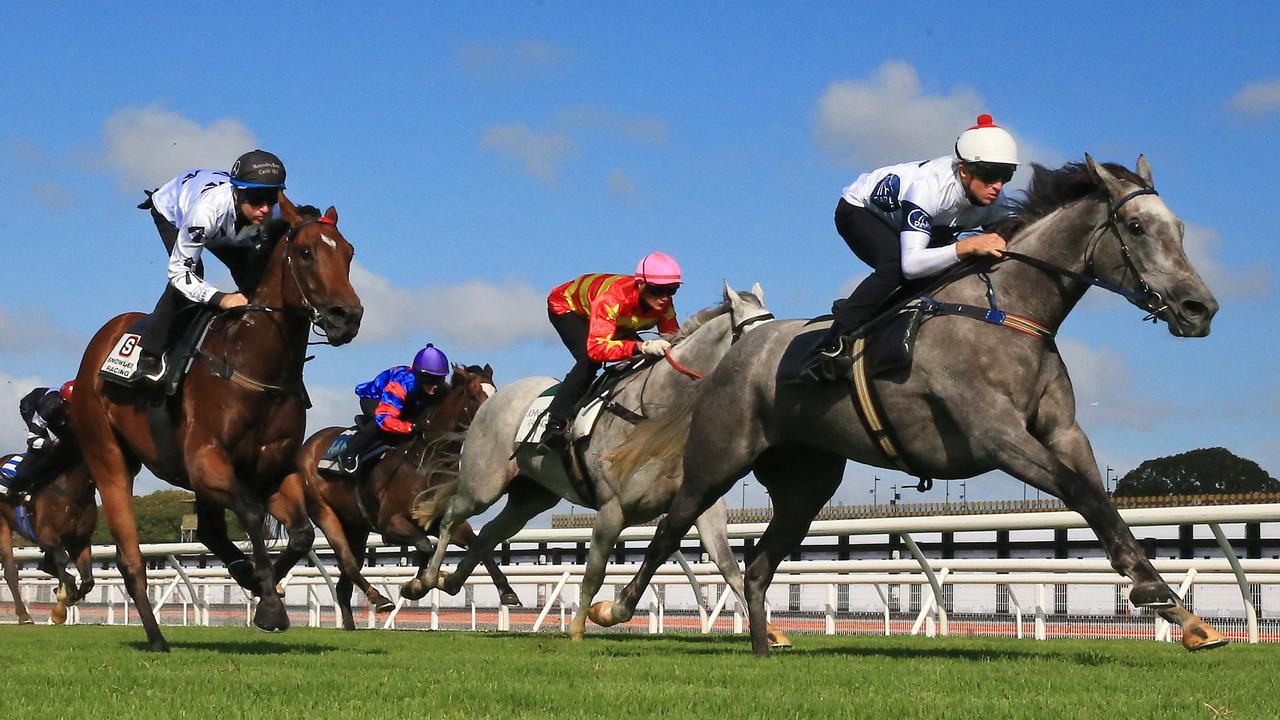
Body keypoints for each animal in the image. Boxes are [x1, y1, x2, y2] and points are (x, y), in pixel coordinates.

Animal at [0, 453, 96, 622]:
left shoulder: (79, 541)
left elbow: (88, 580)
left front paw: (71, 595)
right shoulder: (46, 536)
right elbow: (62, 560)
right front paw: (60, 607)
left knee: (45, 565)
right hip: (3, 525)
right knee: (11, 572)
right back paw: (24, 615)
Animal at [72, 193, 363, 648]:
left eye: (349, 253)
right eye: (306, 252)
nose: (346, 316)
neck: (252, 364)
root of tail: (103, 338)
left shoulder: (271, 469)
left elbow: (300, 534)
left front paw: (264, 586)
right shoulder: (206, 461)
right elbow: (250, 513)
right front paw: (270, 603)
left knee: (209, 531)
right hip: (108, 458)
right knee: (130, 557)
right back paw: (157, 638)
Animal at [280, 361, 519, 625]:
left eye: (496, 392)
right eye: (475, 395)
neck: (425, 461)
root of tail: (308, 445)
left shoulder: (443, 519)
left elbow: (479, 545)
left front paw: (507, 591)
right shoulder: (390, 523)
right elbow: (424, 546)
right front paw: (416, 585)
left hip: (357, 526)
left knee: (344, 584)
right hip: (324, 512)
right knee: (348, 563)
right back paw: (379, 599)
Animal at [419, 283, 788, 640]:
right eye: (756, 339)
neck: (658, 414)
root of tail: (492, 400)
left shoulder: (703, 505)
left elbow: (729, 567)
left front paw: (770, 631)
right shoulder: (612, 509)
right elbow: (594, 573)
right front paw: (579, 628)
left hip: (531, 498)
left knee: (489, 533)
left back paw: (453, 582)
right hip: (483, 485)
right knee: (451, 517)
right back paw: (423, 580)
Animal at [593, 158, 1223, 655]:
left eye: (1179, 228)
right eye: (1136, 227)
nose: (1200, 308)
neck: (1006, 311)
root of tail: (737, 353)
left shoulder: (1063, 431)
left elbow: (1102, 500)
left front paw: (1183, 614)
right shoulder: (996, 434)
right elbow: (1081, 492)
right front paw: (1156, 593)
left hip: (807, 483)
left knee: (760, 563)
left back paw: (763, 647)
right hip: (720, 455)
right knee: (673, 526)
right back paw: (612, 609)